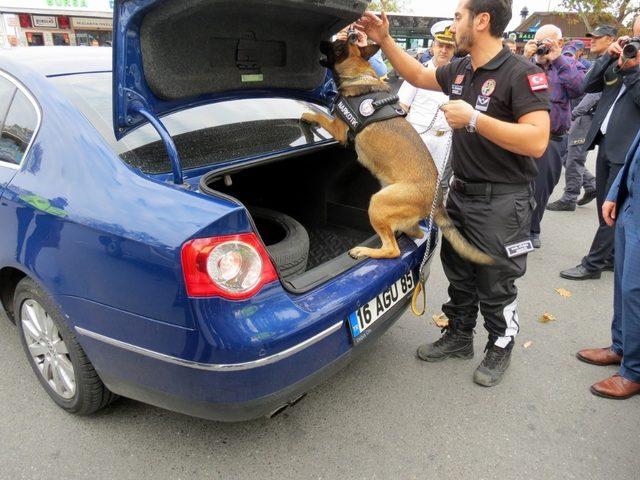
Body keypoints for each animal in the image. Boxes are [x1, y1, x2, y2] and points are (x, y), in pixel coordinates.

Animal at [302, 37, 496, 264]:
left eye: (337, 45)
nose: (323, 40)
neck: (357, 75)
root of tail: (437, 202)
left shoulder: (339, 129)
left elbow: (321, 117)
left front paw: (307, 115)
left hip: (377, 202)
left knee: (393, 250)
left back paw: (364, 251)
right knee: (415, 234)